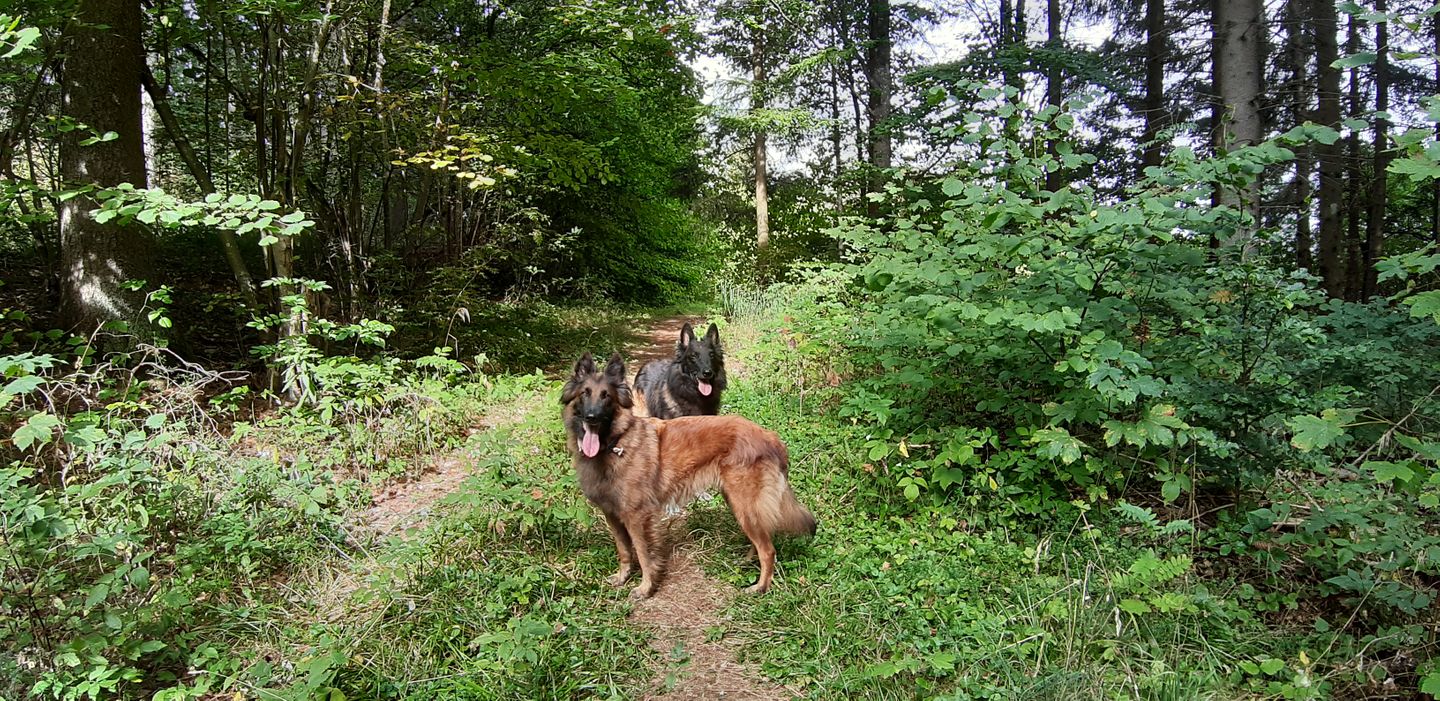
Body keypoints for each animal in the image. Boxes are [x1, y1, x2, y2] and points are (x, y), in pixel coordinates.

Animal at [561, 351, 815, 599]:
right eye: (585, 394)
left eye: (606, 396)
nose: (592, 417)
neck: (616, 442)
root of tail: (771, 437)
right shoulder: (612, 515)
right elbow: (624, 550)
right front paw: (622, 578)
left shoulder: (637, 517)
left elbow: (643, 554)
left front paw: (645, 588)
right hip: (740, 503)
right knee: (763, 538)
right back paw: (746, 562)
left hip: (745, 504)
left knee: (768, 549)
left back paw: (760, 587)